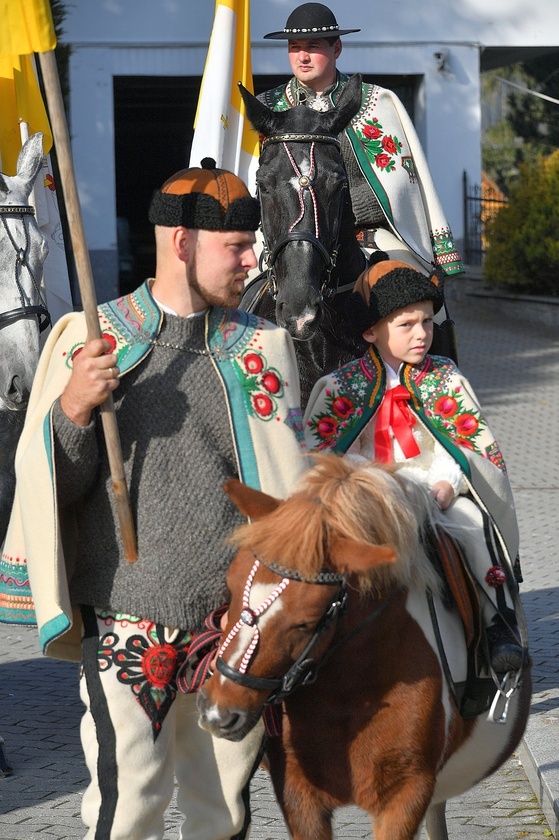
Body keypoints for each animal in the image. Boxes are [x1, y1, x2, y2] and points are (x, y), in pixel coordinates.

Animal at [199, 456, 532, 840]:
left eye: (306, 622)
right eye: (232, 584)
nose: (219, 712)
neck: (350, 689)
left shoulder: (404, 798)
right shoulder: (299, 799)